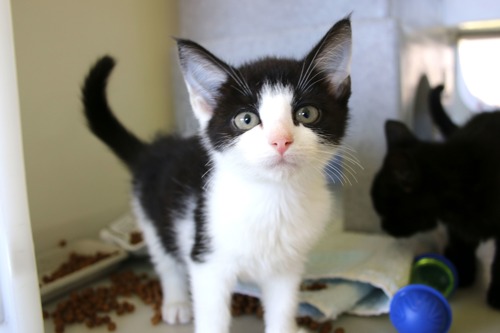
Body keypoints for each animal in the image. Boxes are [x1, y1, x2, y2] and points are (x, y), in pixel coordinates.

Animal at [82, 18, 352, 332]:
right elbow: (212, 315)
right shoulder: (206, 259)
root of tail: (153, 149)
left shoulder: (287, 266)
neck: (273, 198)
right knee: (165, 257)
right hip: (152, 214)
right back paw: (176, 302)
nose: (280, 141)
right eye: (246, 120)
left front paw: (287, 326)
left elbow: (283, 309)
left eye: (307, 113)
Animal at [372, 84, 500, 308]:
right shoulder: (456, 227)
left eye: (386, 210)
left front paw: (497, 295)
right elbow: (462, 245)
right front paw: (463, 273)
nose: (384, 228)